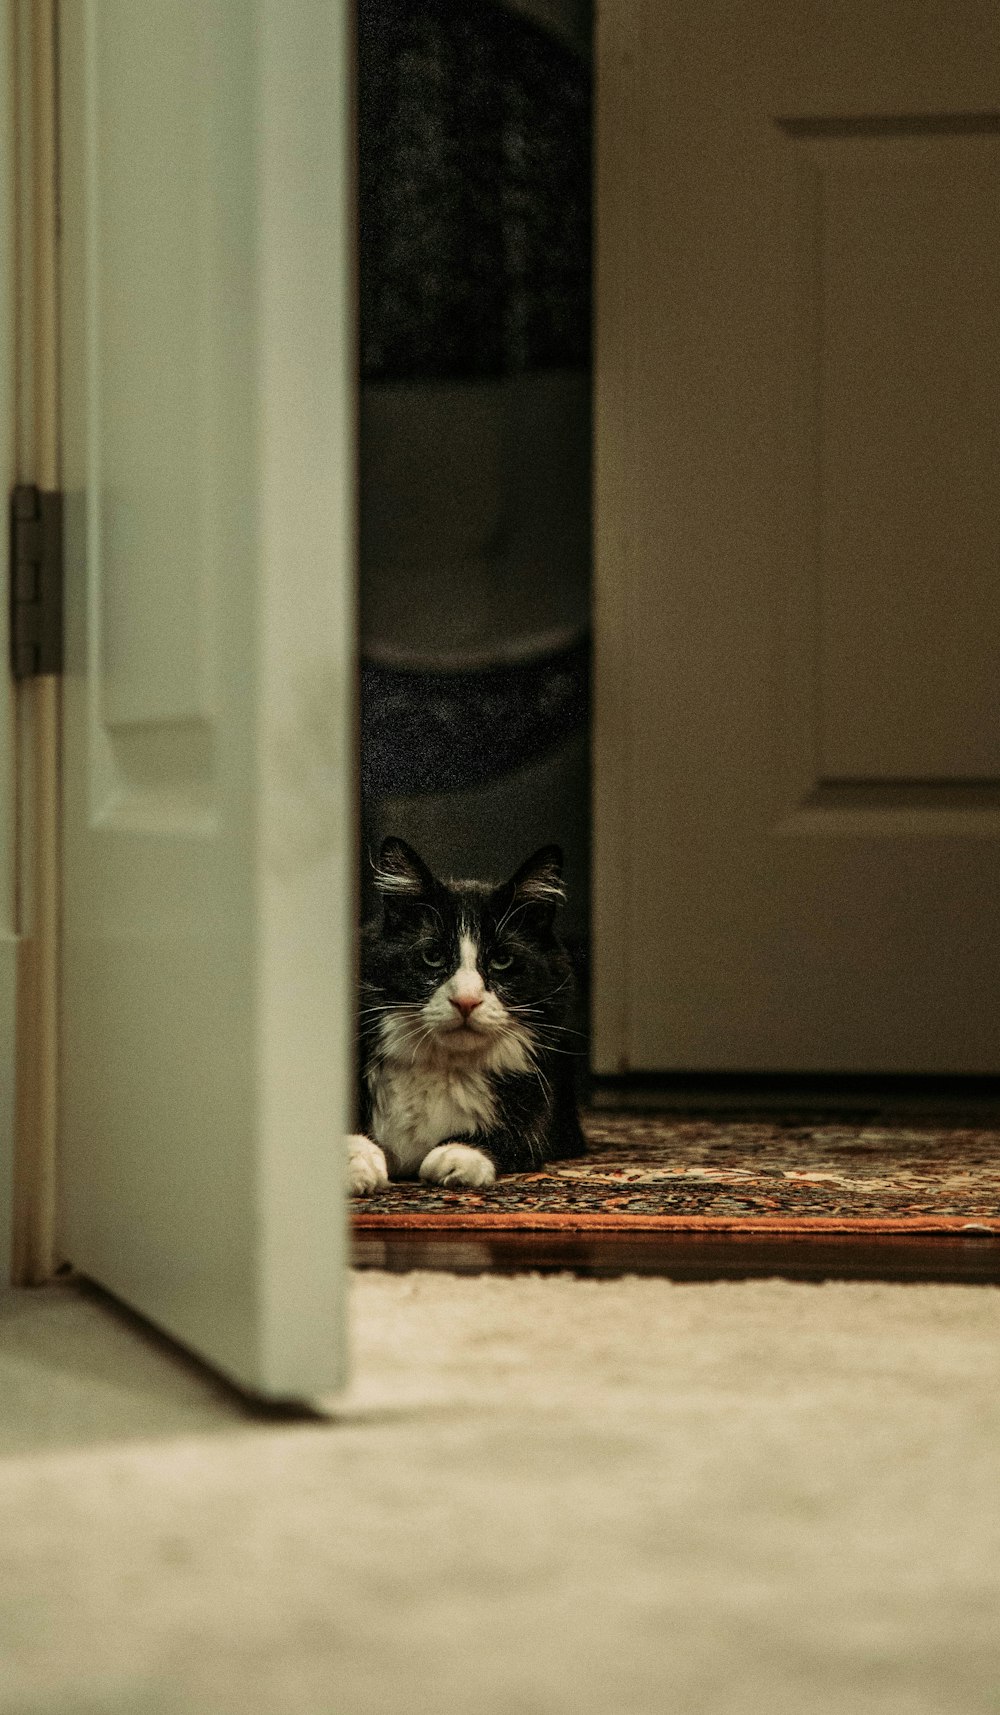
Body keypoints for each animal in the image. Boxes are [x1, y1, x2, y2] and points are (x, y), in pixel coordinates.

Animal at [349, 833, 586, 1193]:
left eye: (502, 961)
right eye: (432, 956)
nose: (465, 1001)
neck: (443, 1065)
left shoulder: (535, 1120)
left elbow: (511, 1139)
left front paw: (456, 1156)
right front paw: (356, 1164)